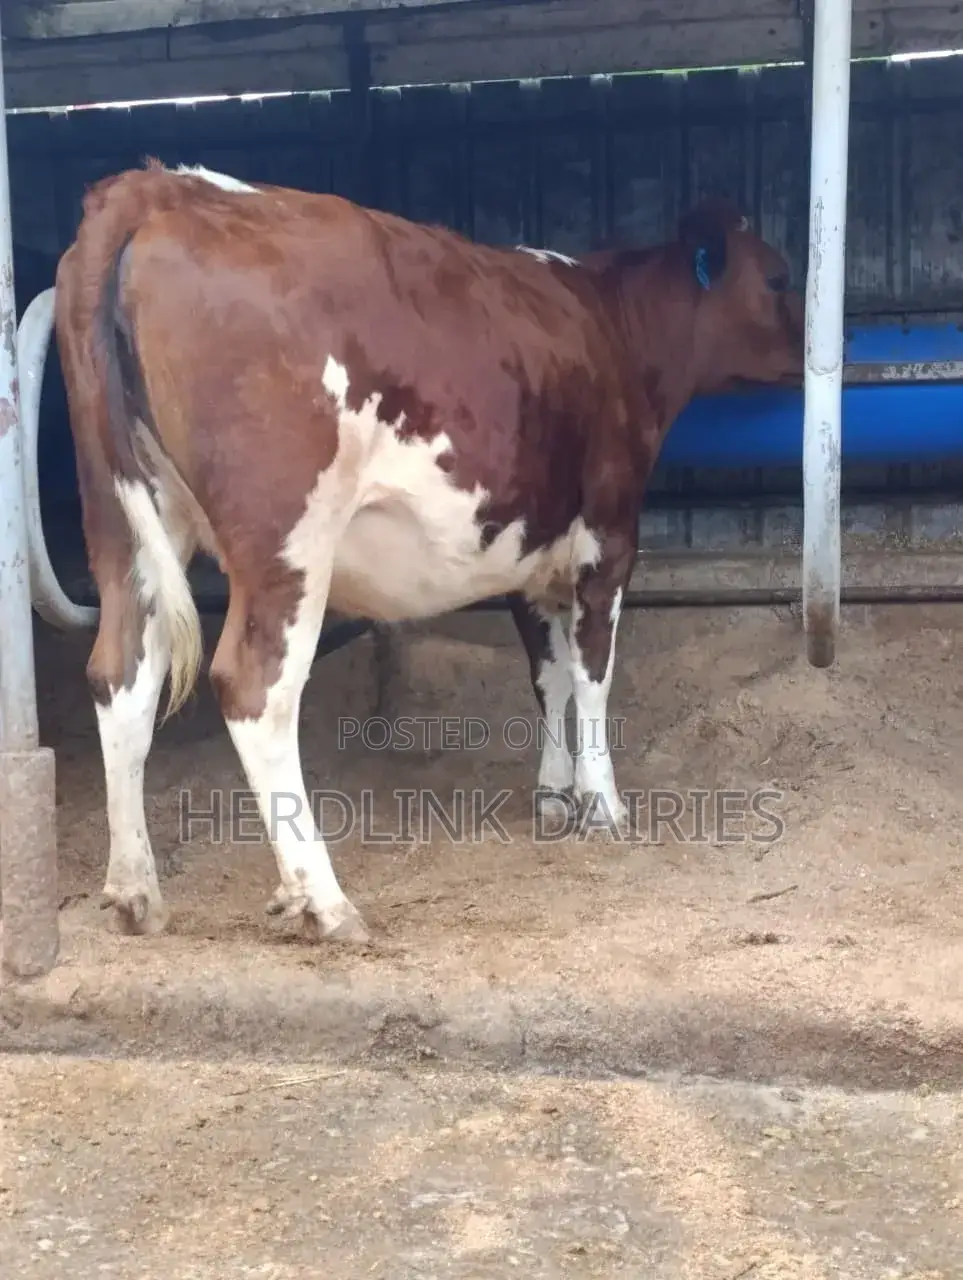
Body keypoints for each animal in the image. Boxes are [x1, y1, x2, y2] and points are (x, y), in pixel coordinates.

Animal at [53, 159, 804, 946]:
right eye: (778, 277)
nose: (813, 351)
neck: (611, 325)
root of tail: (164, 187)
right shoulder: (609, 533)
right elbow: (593, 673)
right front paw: (602, 804)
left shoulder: (528, 552)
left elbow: (550, 676)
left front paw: (554, 795)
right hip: (286, 540)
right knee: (255, 687)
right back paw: (324, 901)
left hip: (121, 522)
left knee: (121, 674)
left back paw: (134, 889)